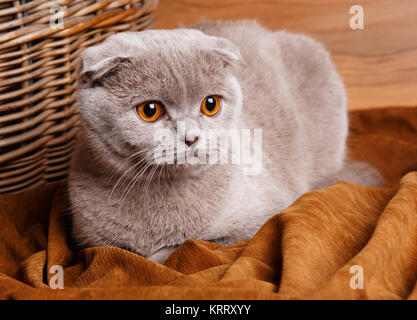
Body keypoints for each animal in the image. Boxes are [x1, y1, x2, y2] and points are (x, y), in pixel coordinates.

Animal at [67, 20, 380, 262]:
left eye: (210, 105)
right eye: (150, 110)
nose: (191, 137)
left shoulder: (262, 217)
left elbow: (187, 246)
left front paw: (160, 252)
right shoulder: (91, 243)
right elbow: (118, 250)